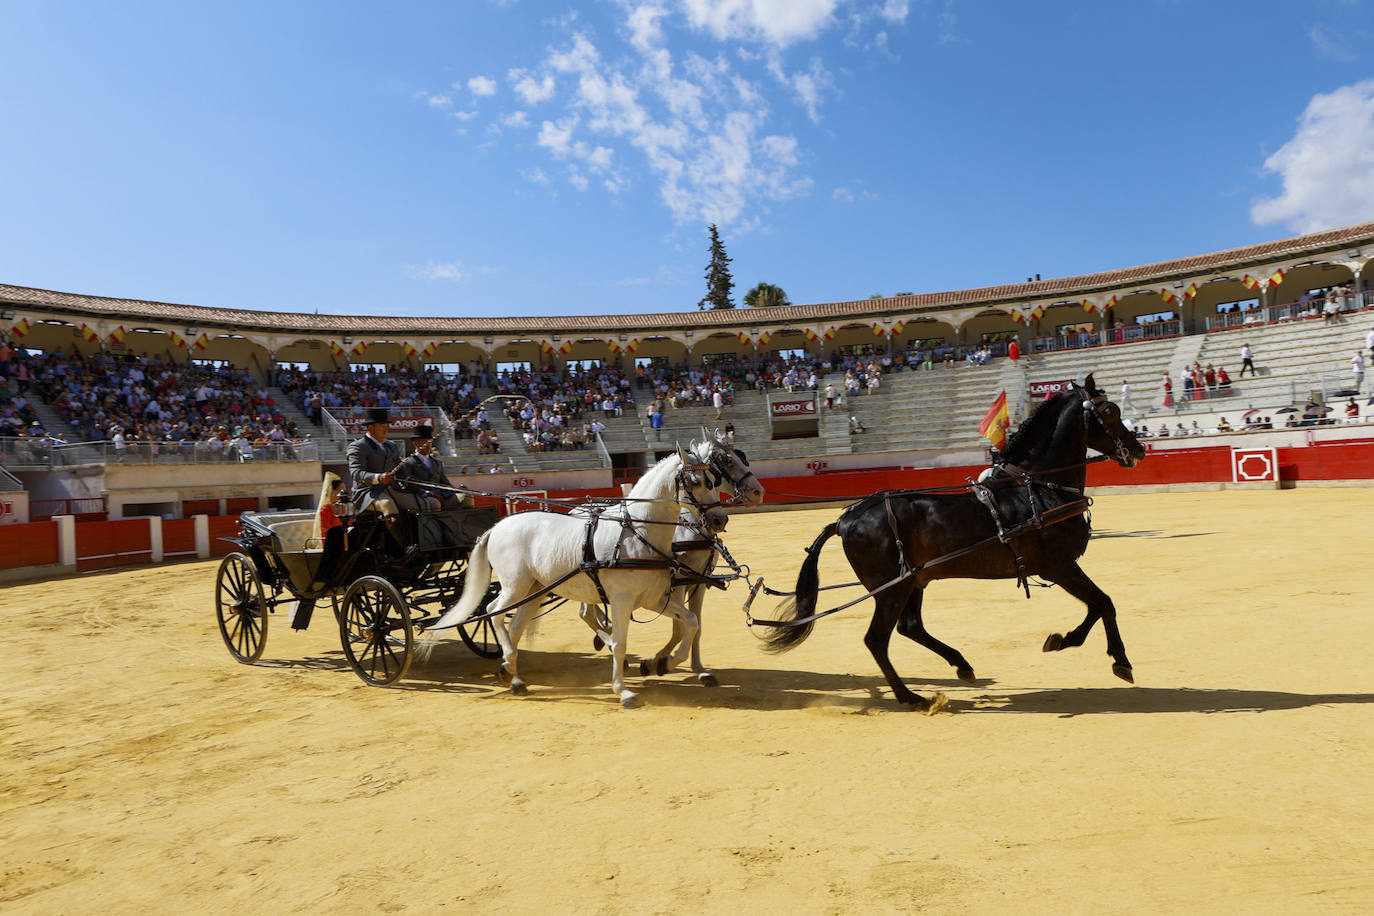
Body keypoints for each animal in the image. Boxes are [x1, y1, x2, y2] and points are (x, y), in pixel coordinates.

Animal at [428, 439, 747, 708]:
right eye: (696, 481)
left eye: (713, 479)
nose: (719, 519)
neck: (638, 532)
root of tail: (497, 527)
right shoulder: (622, 601)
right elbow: (620, 643)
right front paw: (624, 690)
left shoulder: (656, 599)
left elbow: (690, 623)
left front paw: (665, 663)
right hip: (514, 586)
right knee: (493, 611)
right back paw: (509, 666)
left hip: (535, 589)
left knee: (515, 624)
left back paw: (513, 675)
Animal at [763, 376, 1148, 714]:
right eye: (1110, 410)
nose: (1139, 448)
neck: (1035, 487)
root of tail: (845, 518)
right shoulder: (1060, 566)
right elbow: (1103, 602)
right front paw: (1115, 659)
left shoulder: (1060, 567)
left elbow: (1098, 605)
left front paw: (1069, 642)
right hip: (891, 589)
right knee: (877, 639)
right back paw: (910, 697)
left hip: (913, 581)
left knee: (909, 627)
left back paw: (961, 665)